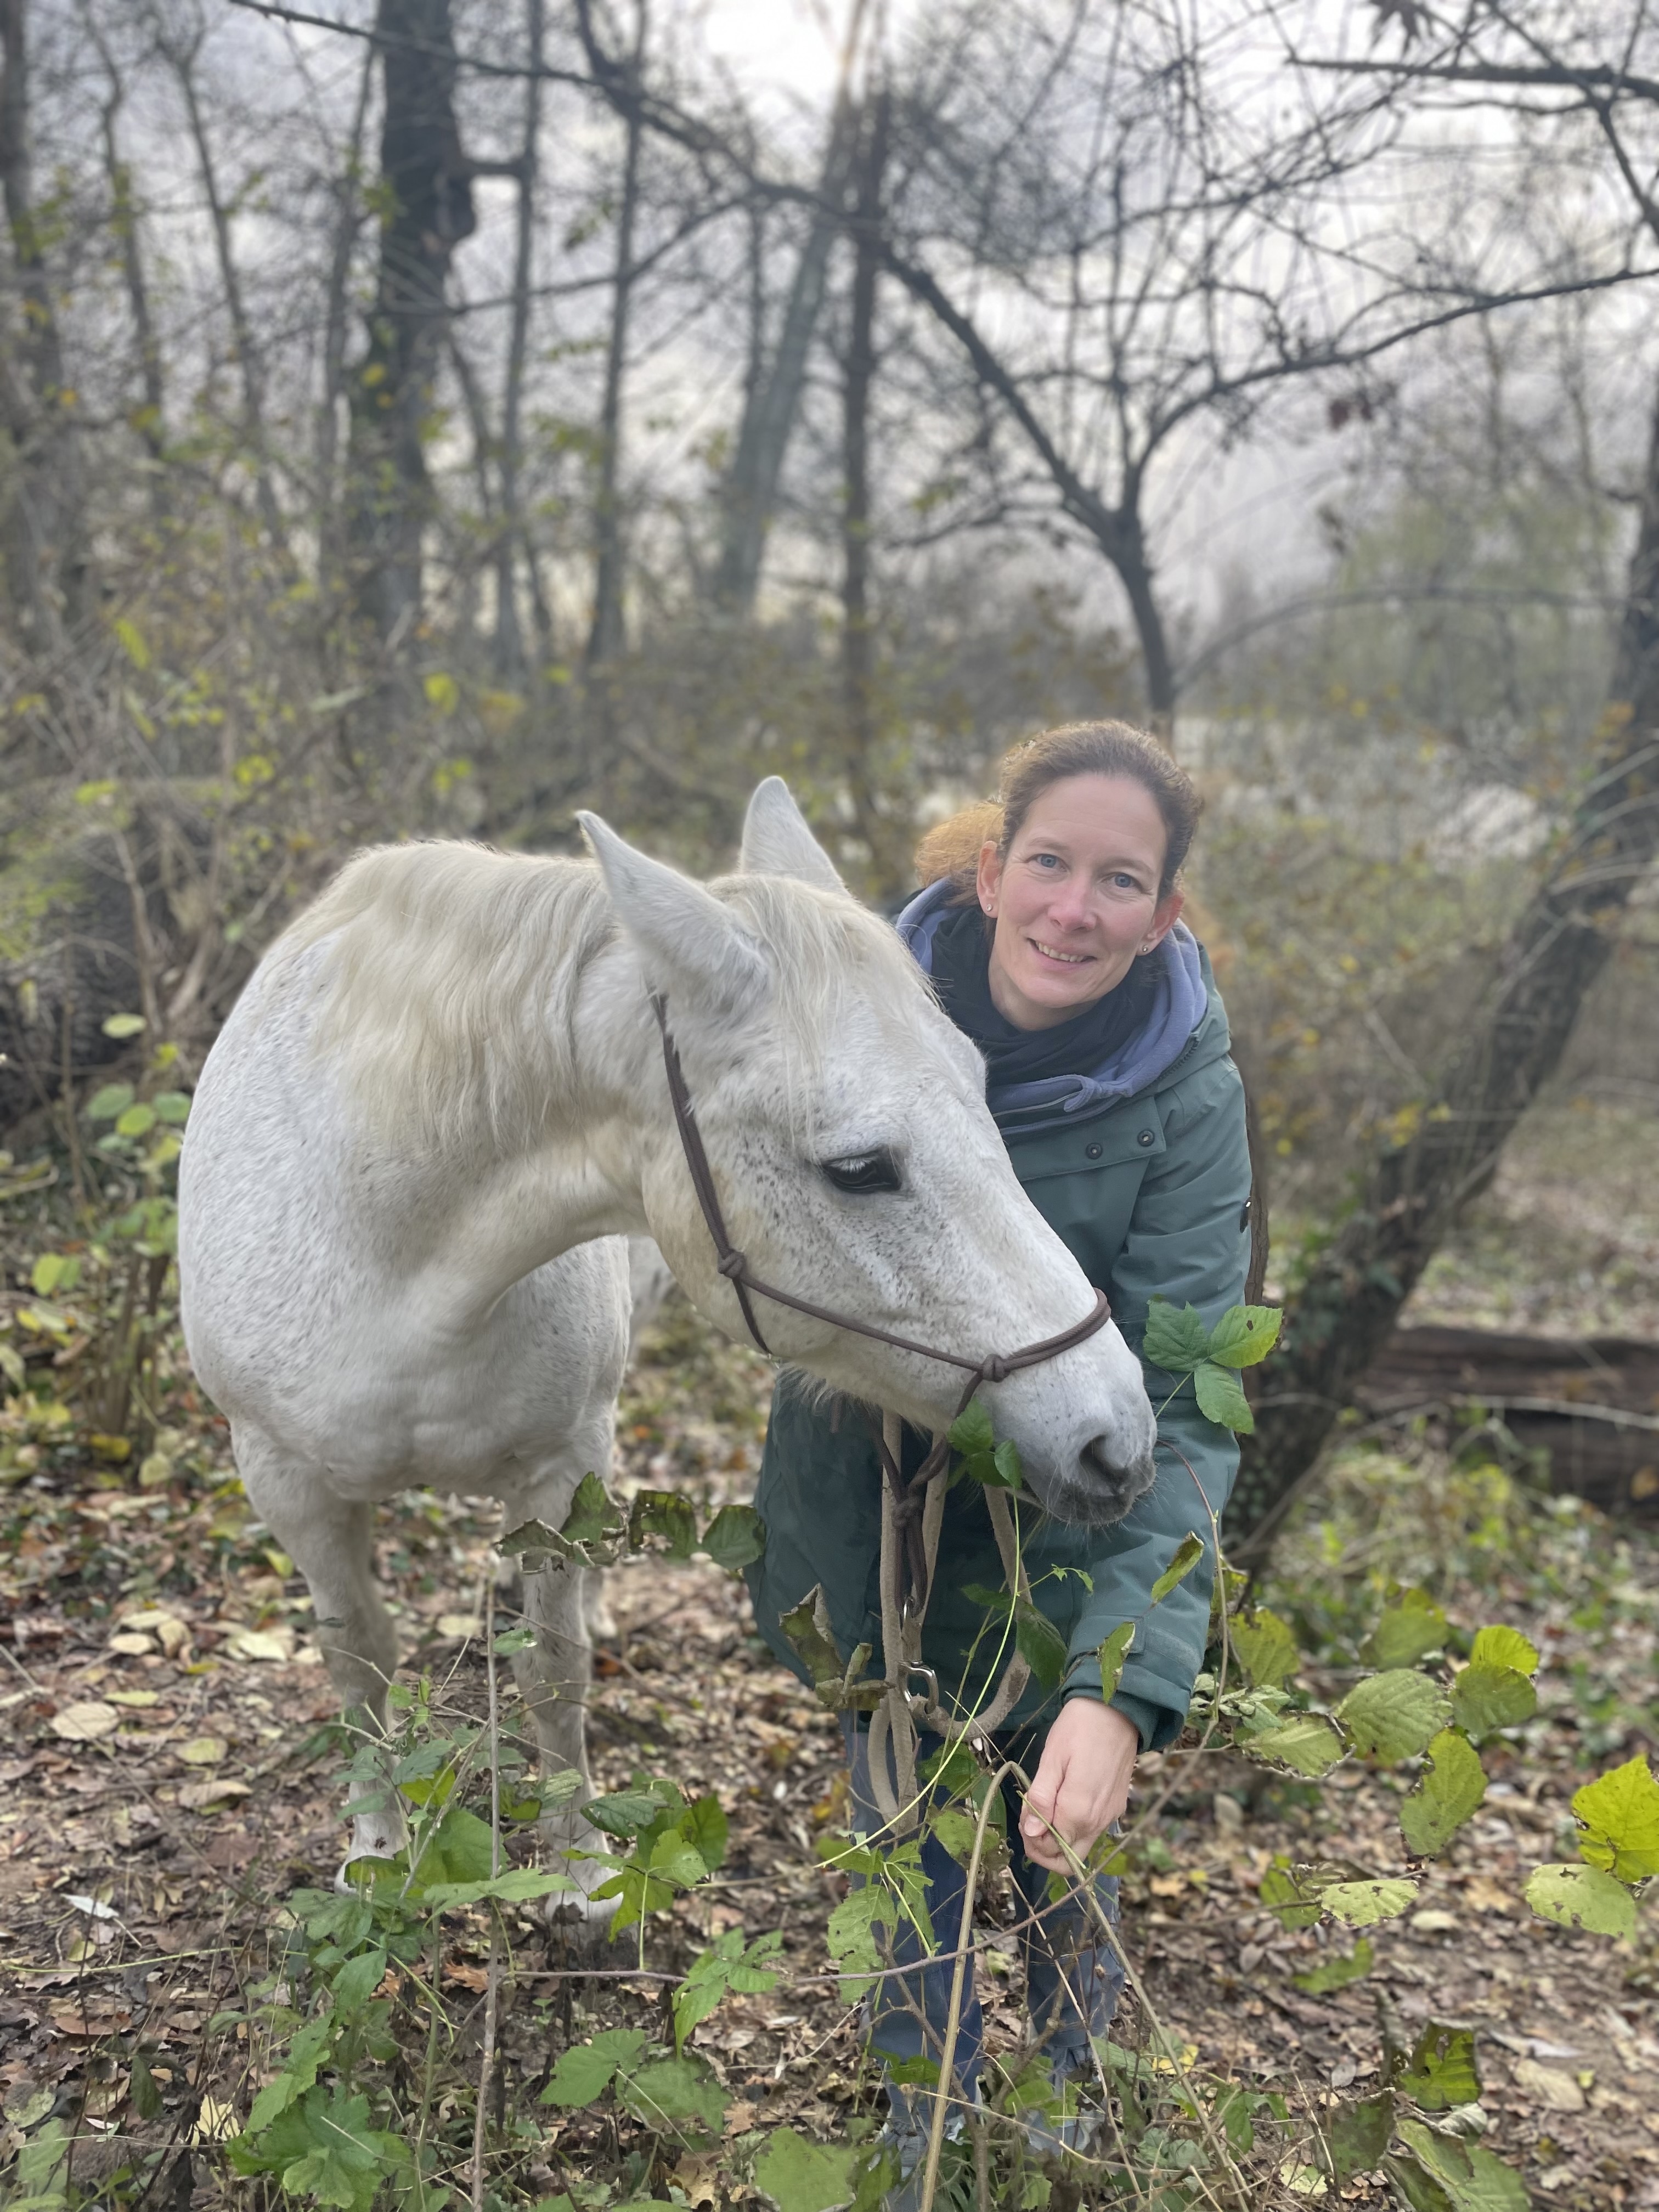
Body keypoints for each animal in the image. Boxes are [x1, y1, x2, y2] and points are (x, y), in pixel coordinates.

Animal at [177, 779, 1157, 1915]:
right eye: (858, 1168)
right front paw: (374, 1852)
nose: (1117, 1436)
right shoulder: (285, 1480)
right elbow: (359, 1666)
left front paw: (576, 1873)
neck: (377, 1240)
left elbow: (552, 1669)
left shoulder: (558, 1464)